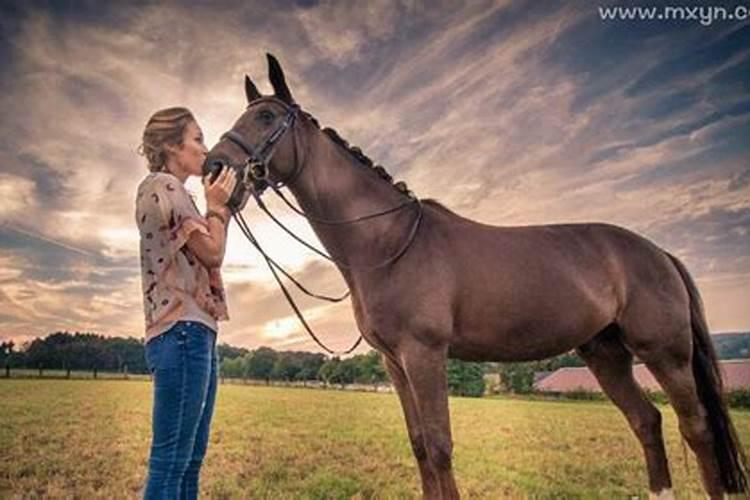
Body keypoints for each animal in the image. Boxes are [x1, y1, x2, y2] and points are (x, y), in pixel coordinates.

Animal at [206, 54, 748, 499]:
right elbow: (420, 444)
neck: (389, 242)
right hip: (606, 355)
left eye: (266, 117)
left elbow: (440, 445)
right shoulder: (395, 362)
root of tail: (658, 252)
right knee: (647, 421)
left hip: (665, 353)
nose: (214, 166)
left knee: (696, 428)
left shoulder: (425, 353)